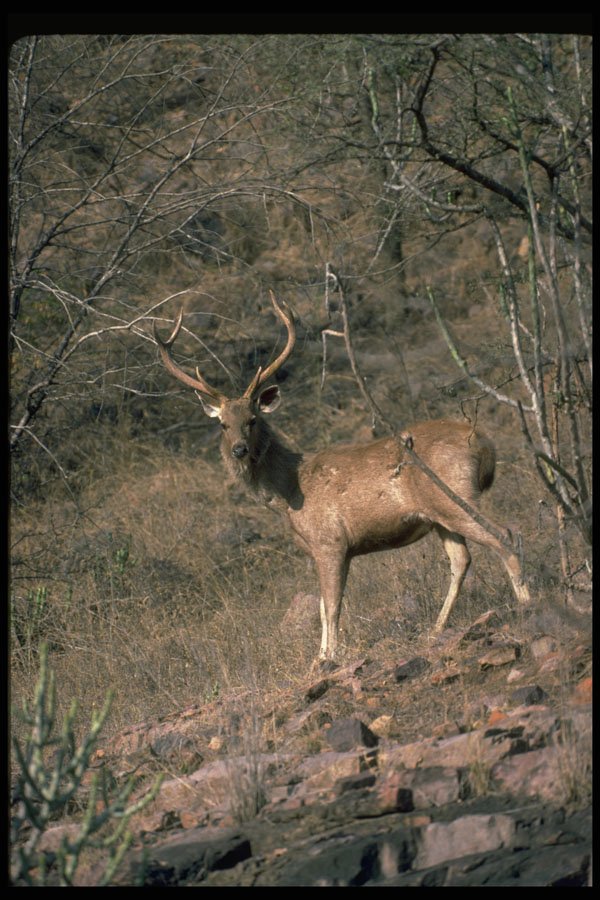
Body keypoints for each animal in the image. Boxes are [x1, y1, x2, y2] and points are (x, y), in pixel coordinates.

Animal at [154, 292, 531, 664]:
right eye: (222, 424)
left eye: (253, 419)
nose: (239, 450)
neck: (289, 490)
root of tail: (484, 443)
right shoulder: (332, 549)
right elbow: (322, 608)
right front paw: (320, 658)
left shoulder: (330, 540)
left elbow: (333, 606)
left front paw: (328, 659)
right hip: (439, 515)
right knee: (461, 560)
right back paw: (436, 629)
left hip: (455, 494)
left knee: (504, 533)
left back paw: (527, 604)